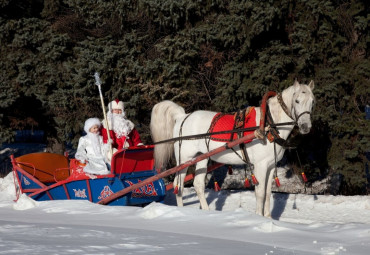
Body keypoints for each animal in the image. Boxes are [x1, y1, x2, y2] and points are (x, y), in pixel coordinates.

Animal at [150, 80, 316, 217]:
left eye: (312, 102)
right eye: (297, 100)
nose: (305, 127)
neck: (268, 124)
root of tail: (182, 116)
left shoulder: (270, 166)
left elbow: (268, 193)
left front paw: (268, 218)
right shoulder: (260, 166)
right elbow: (260, 193)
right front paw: (259, 217)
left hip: (201, 158)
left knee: (198, 185)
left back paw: (206, 213)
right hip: (184, 159)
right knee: (178, 185)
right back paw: (181, 211)